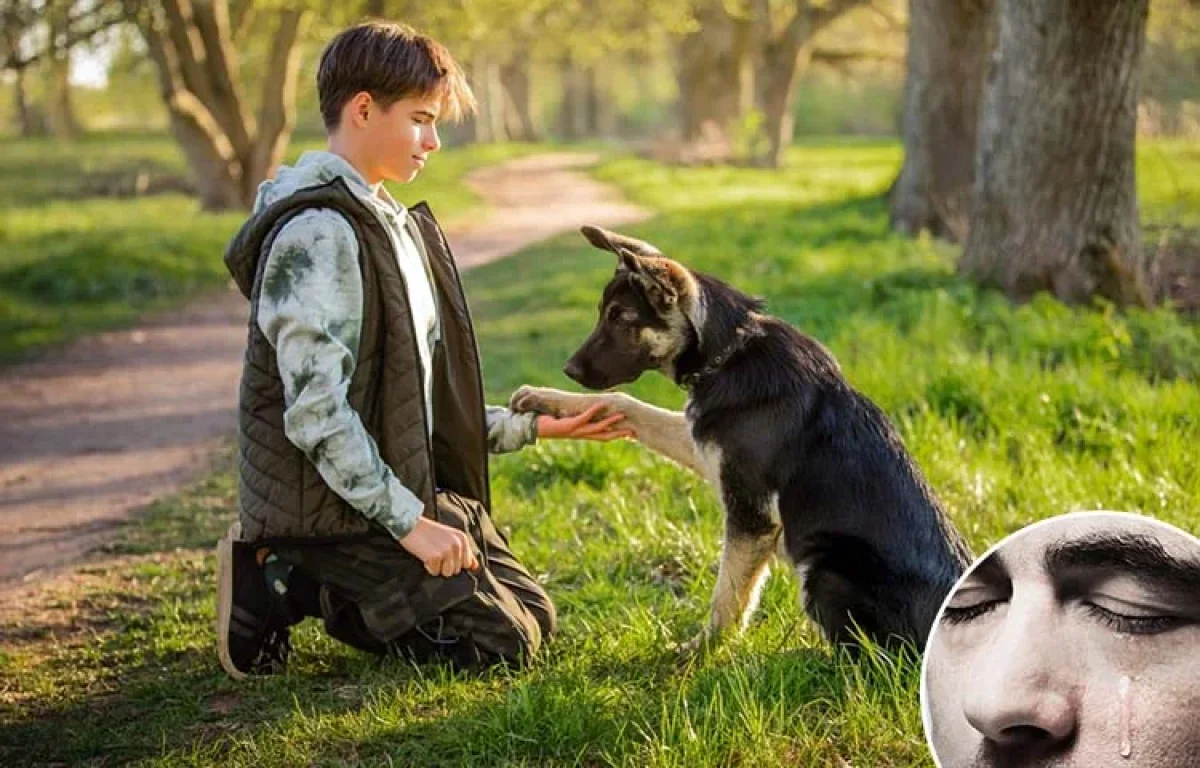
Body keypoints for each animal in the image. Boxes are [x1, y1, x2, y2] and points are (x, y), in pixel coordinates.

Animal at [508, 225, 974, 652]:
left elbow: (727, 595)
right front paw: (543, 398)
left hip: (826, 567)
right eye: (603, 312)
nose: (570, 370)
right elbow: (625, 404)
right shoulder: (703, 445)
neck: (728, 351)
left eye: (620, 317)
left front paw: (702, 651)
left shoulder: (751, 516)